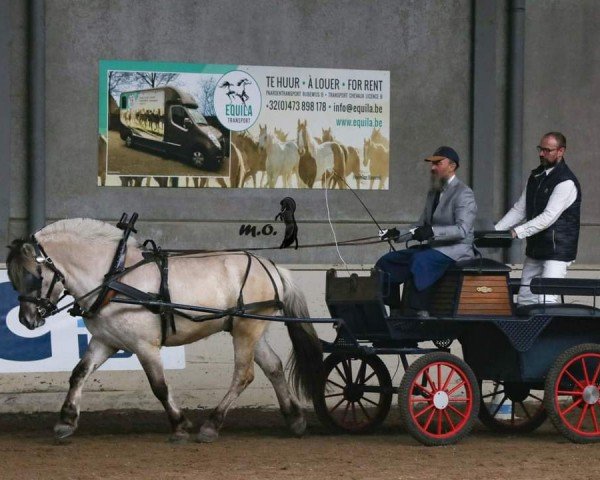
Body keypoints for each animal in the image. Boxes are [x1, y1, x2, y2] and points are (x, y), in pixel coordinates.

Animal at [5, 218, 324, 442]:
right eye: (13, 277)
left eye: (34, 277)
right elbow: (78, 374)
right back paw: (294, 419)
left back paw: (212, 425)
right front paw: (66, 421)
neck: (113, 278)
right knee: (273, 366)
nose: (27, 320)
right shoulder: (105, 341)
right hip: (249, 329)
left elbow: (159, 386)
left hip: (247, 329)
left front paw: (180, 424)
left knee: (243, 375)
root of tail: (269, 265)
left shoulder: (145, 346)